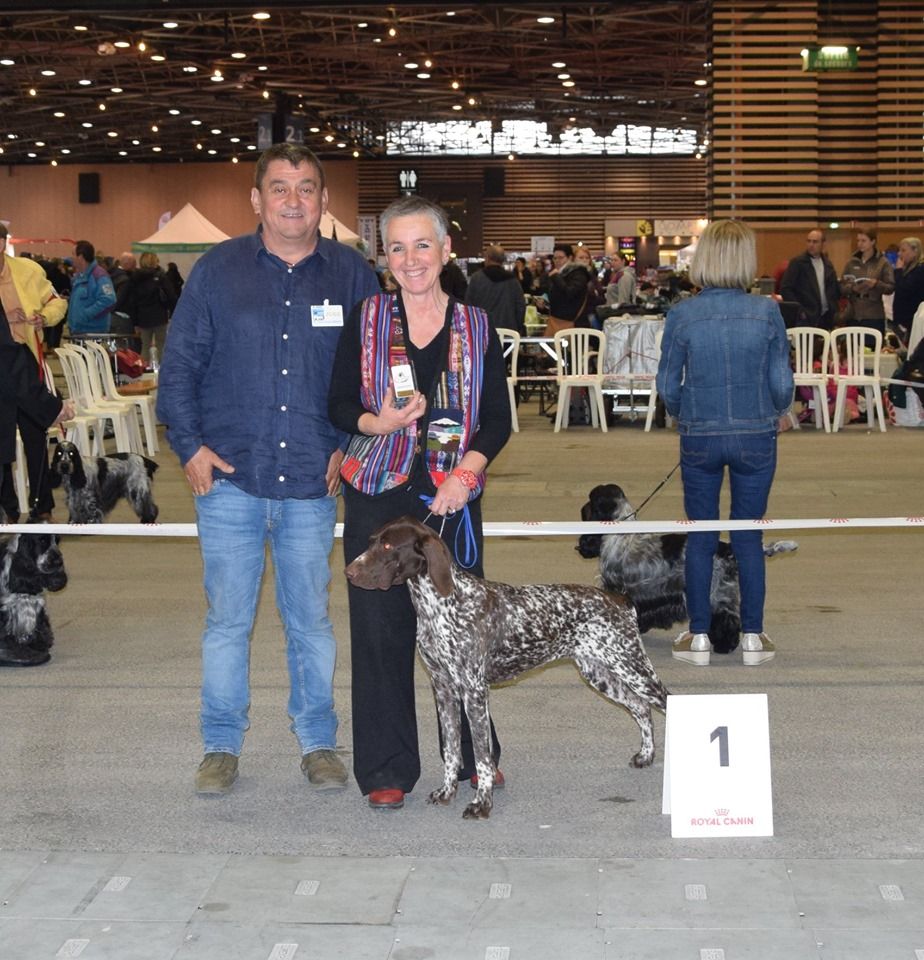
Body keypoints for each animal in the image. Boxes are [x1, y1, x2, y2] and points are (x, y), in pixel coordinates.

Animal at [342, 512, 668, 820]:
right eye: (372, 541)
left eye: (387, 546)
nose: (349, 571)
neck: (441, 605)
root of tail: (620, 599)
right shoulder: (444, 689)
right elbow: (451, 750)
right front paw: (447, 792)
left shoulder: (473, 692)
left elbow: (482, 759)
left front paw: (481, 804)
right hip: (600, 673)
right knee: (640, 708)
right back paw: (645, 756)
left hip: (634, 668)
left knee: (664, 702)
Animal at [576, 484, 796, 656]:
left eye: (590, 502)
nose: (581, 508)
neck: (619, 533)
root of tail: (727, 549)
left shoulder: (618, 587)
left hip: (715, 593)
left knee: (726, 619)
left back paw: (723, 646)